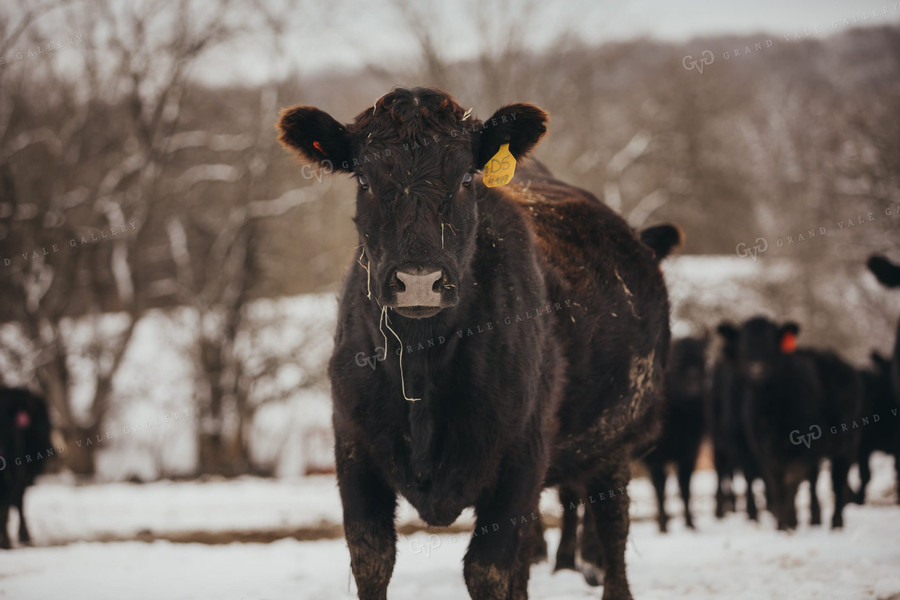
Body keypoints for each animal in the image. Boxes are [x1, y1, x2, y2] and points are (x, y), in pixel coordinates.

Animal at [278, 89, 672, 600]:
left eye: (467, 176)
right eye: (363, 178)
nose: (418, 280)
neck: (420, 362)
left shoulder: (521, 456)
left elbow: (488, 569)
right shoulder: (353, 448)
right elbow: (371, 559)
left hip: (615, 440)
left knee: (611, 527)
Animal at [708, 322, 764, 524]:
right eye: (743, 349)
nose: (756, 370)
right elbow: (748, 475)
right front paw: (752, 513)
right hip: (717, 442)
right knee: (721, 470)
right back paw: (721, 509)